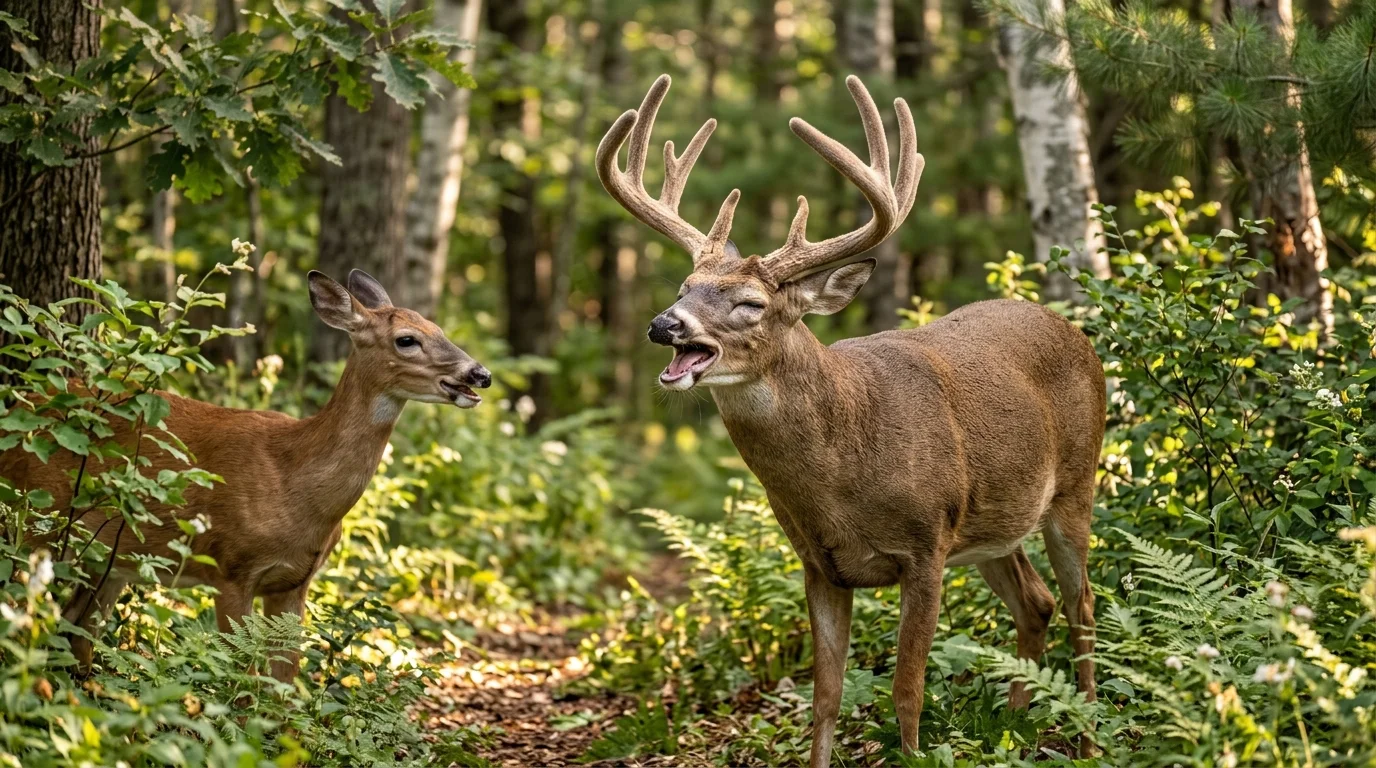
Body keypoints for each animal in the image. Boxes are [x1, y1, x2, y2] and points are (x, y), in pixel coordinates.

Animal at [1, 269, 491, 682]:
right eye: (407, 339)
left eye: (440, 329)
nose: (479, 374)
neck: (297, 483)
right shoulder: (230, 567)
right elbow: (239, 679)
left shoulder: (295, 582)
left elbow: (282, 684)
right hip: (32, 524)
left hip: (111, 559)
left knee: (75, 630)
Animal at [596, 74, 1105, 764]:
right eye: (684, 288)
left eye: (750, 303)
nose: (663, 325)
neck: (844, 469)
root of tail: (1075, 331)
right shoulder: (819, 563)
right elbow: (826, 697)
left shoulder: (925, 546)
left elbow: (906, 691)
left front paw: (914, 755)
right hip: (992, 523)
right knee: (1038, 603)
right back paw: (1014, 728)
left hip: (1075, 487)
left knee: (1083, 606)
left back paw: (1089, 739)